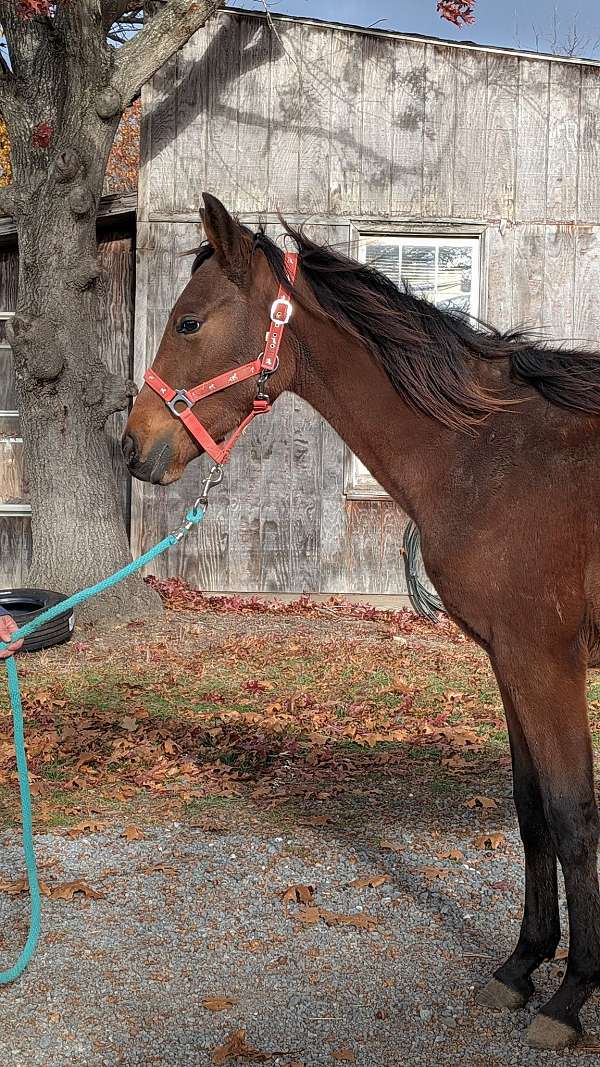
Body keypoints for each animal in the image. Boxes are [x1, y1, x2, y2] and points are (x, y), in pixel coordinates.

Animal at [124, 192, 600, 1051]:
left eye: (188, 322)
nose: (133, 445)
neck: (492, 450)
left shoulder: (547, 661)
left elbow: (573, 815)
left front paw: (571, 994)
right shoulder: (507, 661)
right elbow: (531, 813)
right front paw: (521, 966)